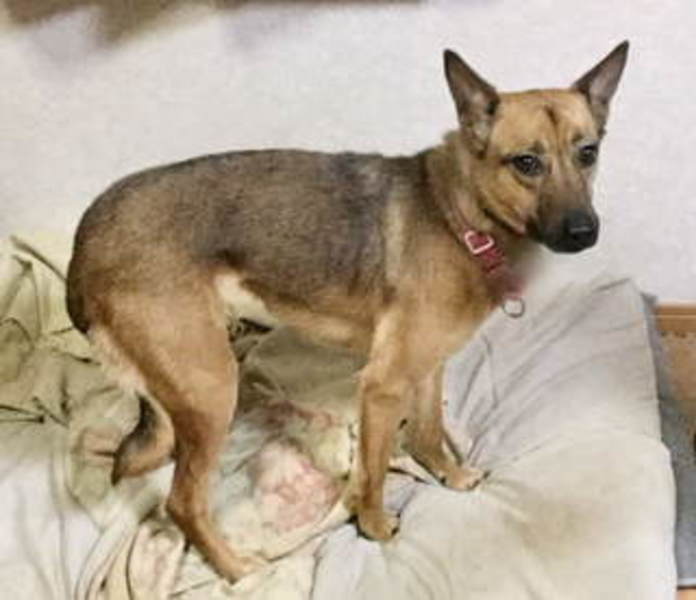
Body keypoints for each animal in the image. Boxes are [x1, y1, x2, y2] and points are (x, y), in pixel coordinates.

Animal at [66, 41, 629, 581]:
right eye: (526, 163)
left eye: (588, 153)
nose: (585, 232)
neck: (460, 218)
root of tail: (84, 242)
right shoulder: (382, 386)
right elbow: (375, 471)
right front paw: (376, 527)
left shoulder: (427, 368)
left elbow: (427, 432)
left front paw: (451, 476)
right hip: (211, 388)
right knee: (183, 502)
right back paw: (235, 569)